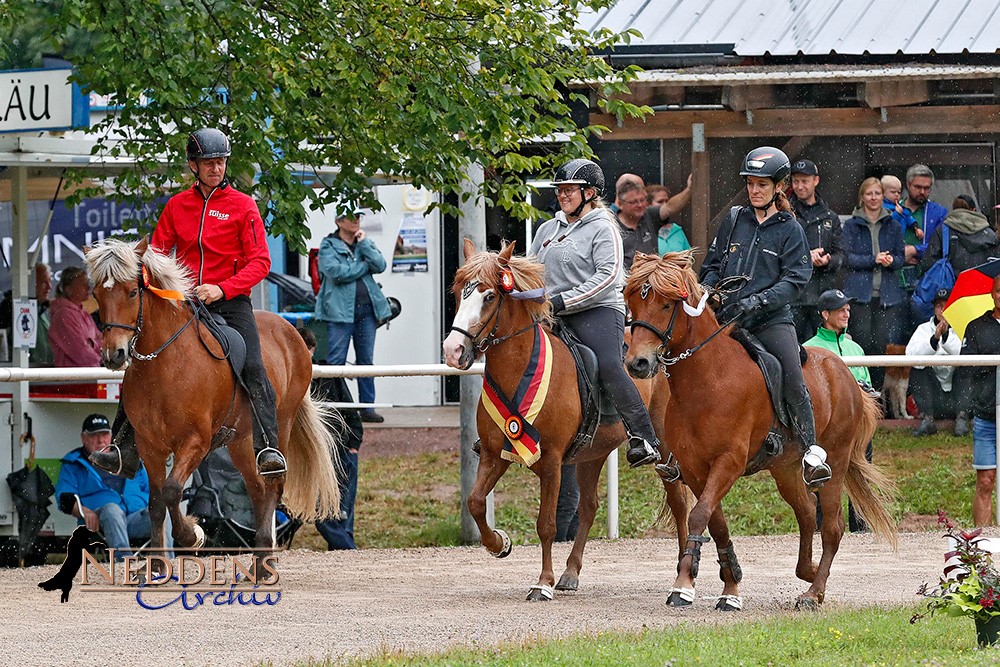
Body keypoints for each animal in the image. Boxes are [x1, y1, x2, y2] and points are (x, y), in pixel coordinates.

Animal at [84, 237, 340, 568]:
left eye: (131, 291)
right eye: (97, 293)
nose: (113, 354)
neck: (165, 364)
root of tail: (290, 330)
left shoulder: (195, 442)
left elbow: (172, 491)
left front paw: (192, 535)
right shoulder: (149, 446)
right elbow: (156, 502)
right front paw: (155, 567)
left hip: (280, 425)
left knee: (273, 486)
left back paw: (266, 563)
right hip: (242, 441)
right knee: (257, 491)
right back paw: (259, 561)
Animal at [444, 241, 688, 604]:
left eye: (489, 296)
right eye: (460, 291)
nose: (454, 350)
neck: (519, 370)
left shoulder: (551, 461)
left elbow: (546, 523)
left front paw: (542, 582)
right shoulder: (492, 453)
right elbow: (475, 503)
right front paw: (499, 543)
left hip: (664, 448)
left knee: (680, 502)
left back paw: (685, 573)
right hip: (592, 454)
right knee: (588, 507)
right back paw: (570, 573)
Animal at [620, 250, 896, 612]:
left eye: (667, 305)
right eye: (631, 303)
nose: (637, 364)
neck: (708, 379)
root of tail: (845, 372)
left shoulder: (729, 462)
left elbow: (699, 515)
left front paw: (685, 584)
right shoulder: (694, 469)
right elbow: (715, 522)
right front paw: (729, 585)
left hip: (834, 463)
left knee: (832, 527)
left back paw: (813, 592)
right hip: (786, 469)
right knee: (807, 513)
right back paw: (808, 572)